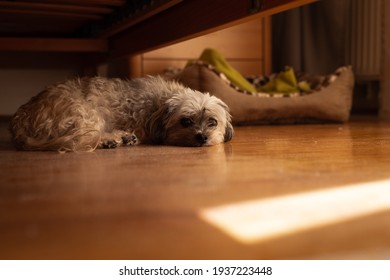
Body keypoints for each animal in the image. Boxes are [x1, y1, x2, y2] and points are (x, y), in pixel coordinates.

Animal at [9, 75, 233, 152]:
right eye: (185, 121)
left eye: (212, 122)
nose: (202, 137)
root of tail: (21, 117)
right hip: (87, 113)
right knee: (81, 139)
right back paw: (113, 139)